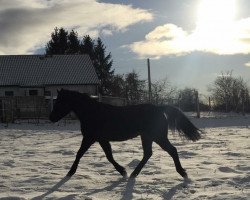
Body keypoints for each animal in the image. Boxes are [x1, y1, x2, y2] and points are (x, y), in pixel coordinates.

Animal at [48, 89, 201, 178]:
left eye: (60, 102)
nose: (51, 118)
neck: (92, 113)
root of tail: (158, 108)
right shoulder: (101, 139)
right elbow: (109, 156)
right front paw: (123, 171)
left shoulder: (90, 138)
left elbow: (80, 153)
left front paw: (70, 172)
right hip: (147, 137)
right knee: (148, 154)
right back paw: (134, 174)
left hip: (158, 136)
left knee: (172, 150)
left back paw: (182, 173)